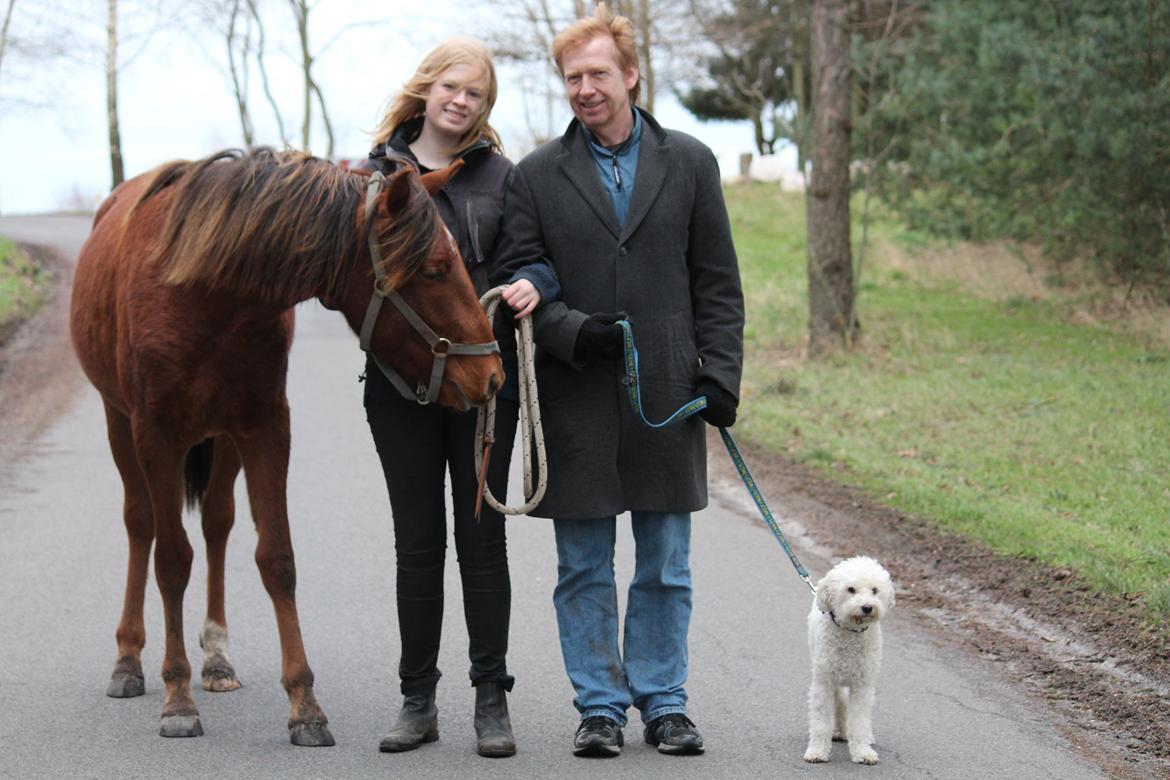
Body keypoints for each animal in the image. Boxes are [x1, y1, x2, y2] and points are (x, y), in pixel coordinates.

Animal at [69, 149, 503, 748]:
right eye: (436, 269)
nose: (492, 374)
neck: (201, 295)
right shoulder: (154, 436)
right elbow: (171, 560)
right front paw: (177, 698)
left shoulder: (266, 428)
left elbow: (277, 559)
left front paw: (305, 705)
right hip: (120, 427)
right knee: (141, 525)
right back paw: (129, 659)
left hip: (223, 440)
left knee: (218, 524)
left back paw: (217, 658)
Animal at [804, 558, 893, 767]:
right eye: (850, 589)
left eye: (875, 590)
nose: (867, 607)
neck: (850, 632)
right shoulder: (824, 683)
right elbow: (821, 721)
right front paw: (817, 751)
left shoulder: (862, 686)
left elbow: (859, 720)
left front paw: (862, 752)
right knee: (840, 701)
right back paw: (839, 731)